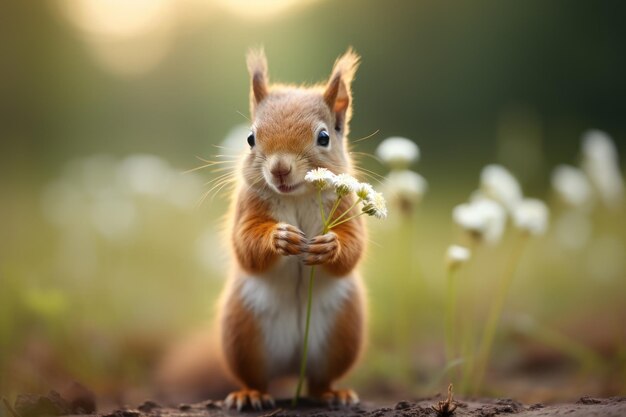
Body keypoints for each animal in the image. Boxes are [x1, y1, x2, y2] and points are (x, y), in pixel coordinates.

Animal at [154, 49, 366, 410]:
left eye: (324, 137)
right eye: (251, 138)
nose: (280, 168)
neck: (296, 196)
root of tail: (292, 365)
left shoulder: (346, 209)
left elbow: (354, 246)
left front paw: (330, 246)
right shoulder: (247, 209)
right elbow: (245, 245)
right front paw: (279, 237)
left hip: (342, 333)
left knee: (319, 381)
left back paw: (332, 393)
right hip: (243, 334)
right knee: (255, 377)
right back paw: (250, 394)